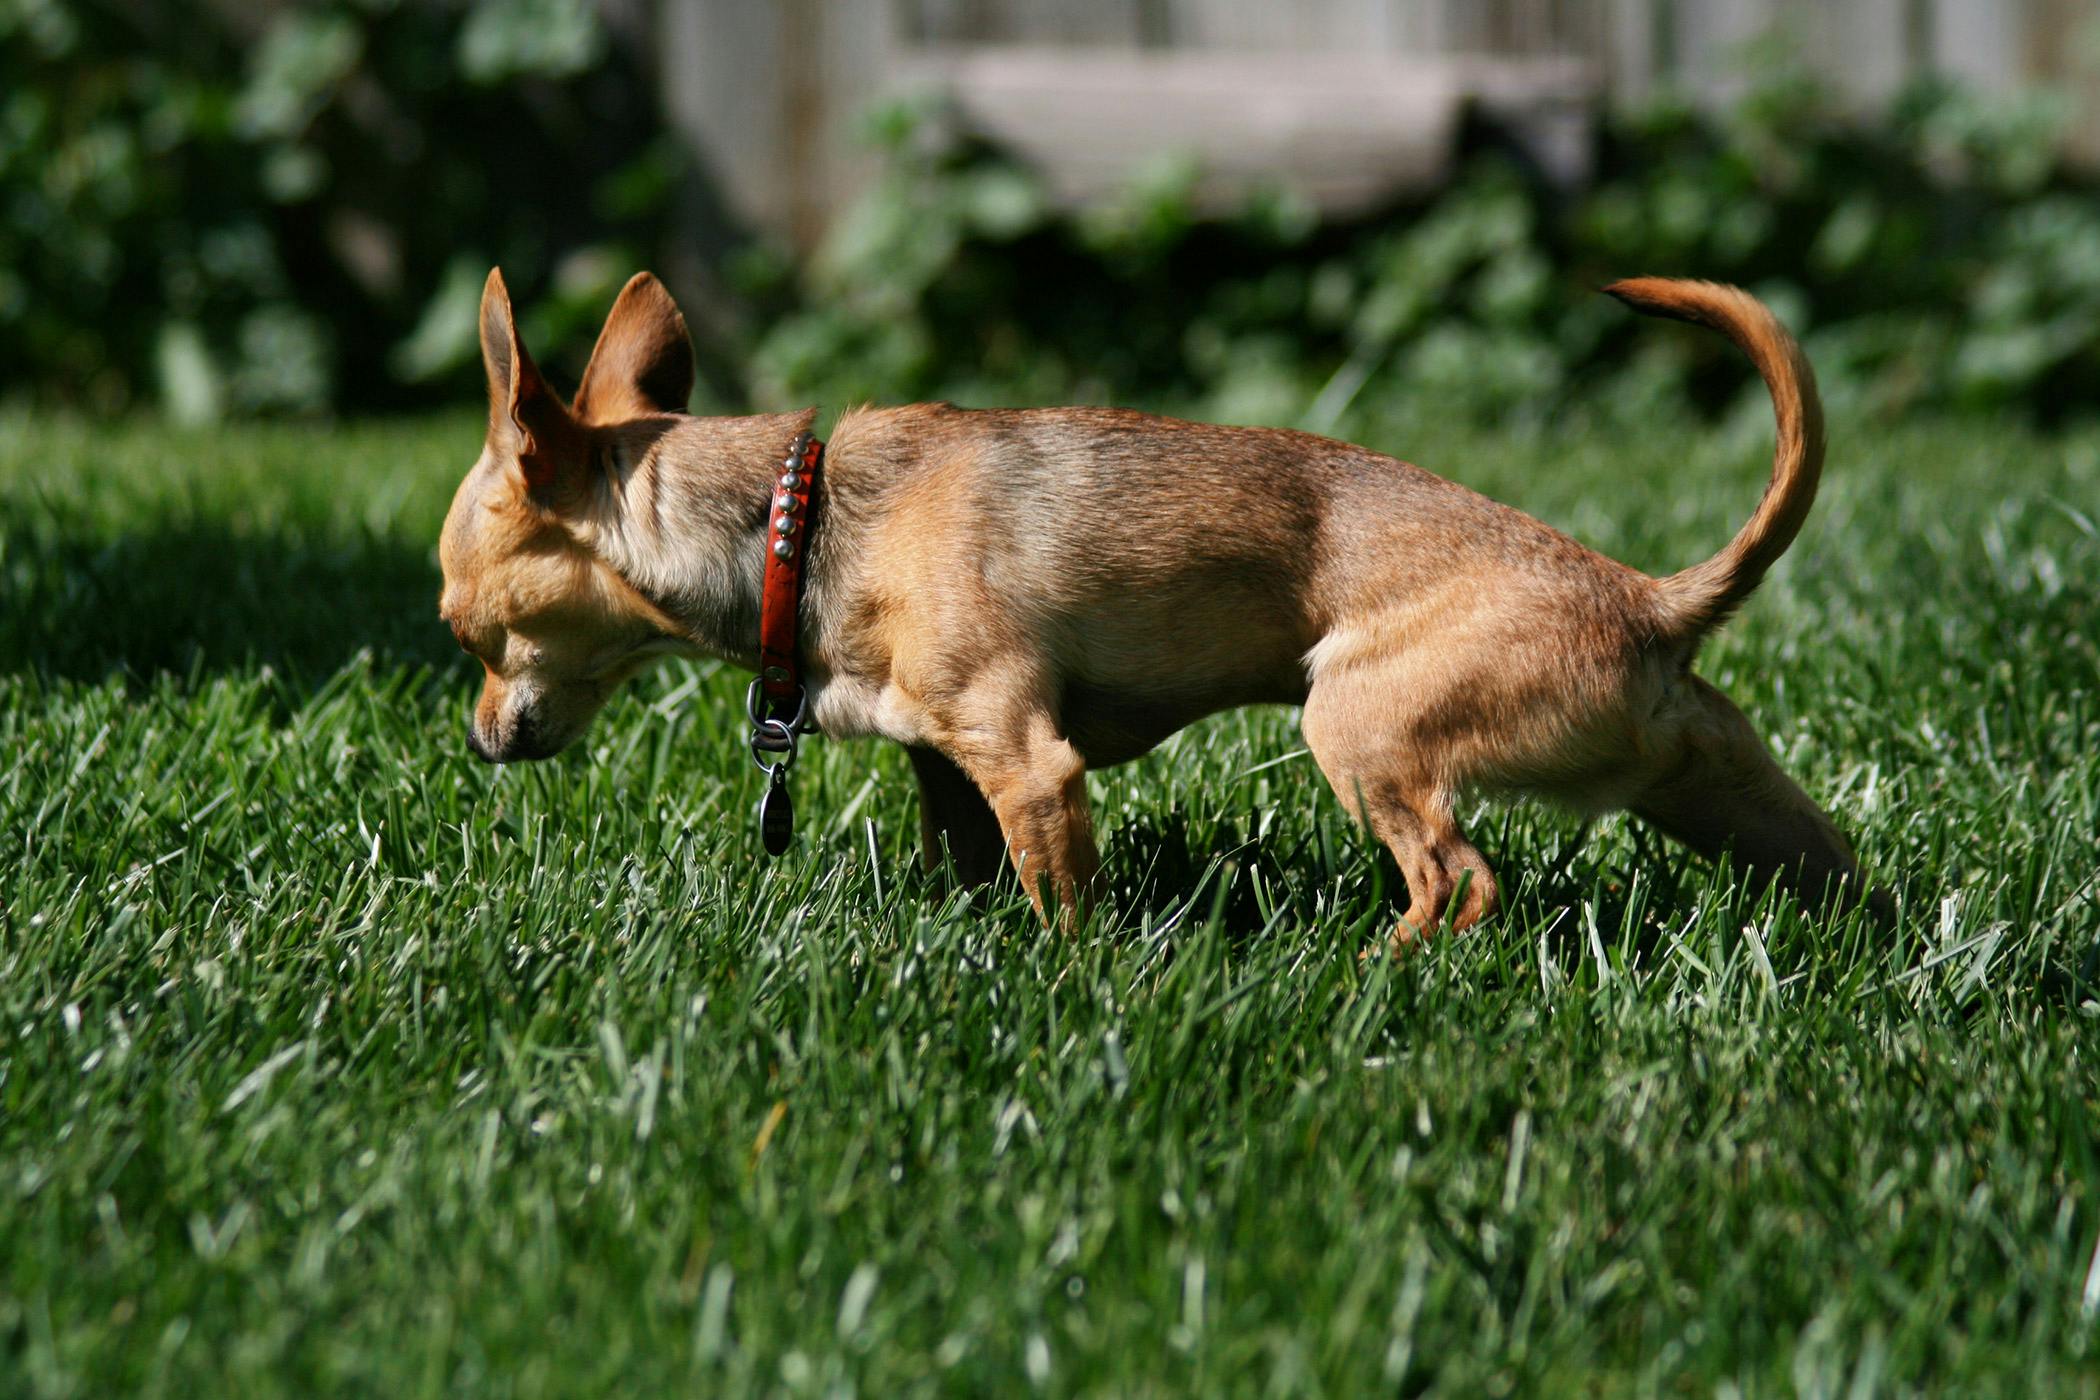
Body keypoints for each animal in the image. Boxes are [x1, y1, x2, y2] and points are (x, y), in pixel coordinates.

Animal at [438, 268, 1873, 948]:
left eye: (464, 629)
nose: (479, 740)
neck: (802, 525)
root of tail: (1650, 599)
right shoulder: (951, 766)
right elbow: (967, 858)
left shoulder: (1029, 761)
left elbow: (1060, 902)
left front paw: (1067, 981)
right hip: (1725, 792)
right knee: (1837, 867)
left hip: (1357, 730)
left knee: (1460, 883)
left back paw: (1369, 973)